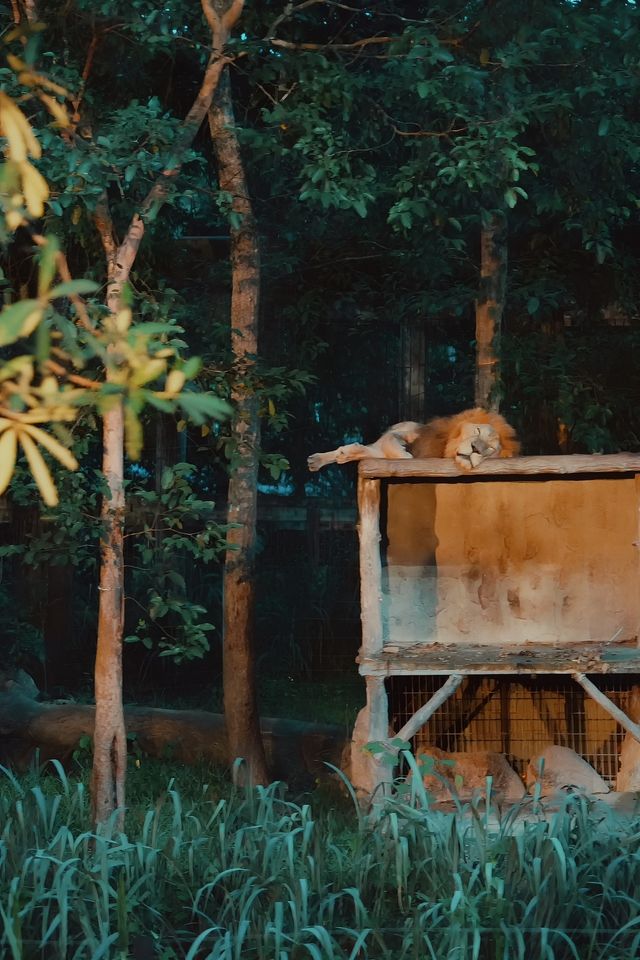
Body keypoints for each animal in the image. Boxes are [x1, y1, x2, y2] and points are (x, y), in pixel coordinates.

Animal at [306, 406, 520, 474]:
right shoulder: (409, 431)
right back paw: (318, 459)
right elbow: (393, 443)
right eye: (477, 430)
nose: (475, 448)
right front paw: (406, 455)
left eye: (490, 448)